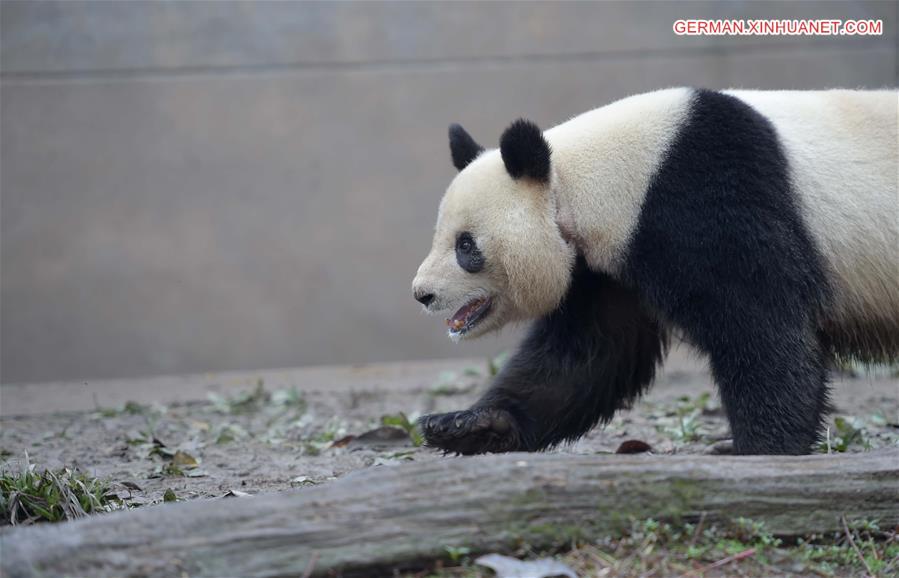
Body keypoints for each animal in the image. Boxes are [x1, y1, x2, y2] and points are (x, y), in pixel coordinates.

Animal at [412, 86, 896, 454]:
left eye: (466, 246)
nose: (422, 294)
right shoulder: (605, 269)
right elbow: (586, 355)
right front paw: (471, 423)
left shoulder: (710, 198)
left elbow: (762, 326)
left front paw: (760, 447)